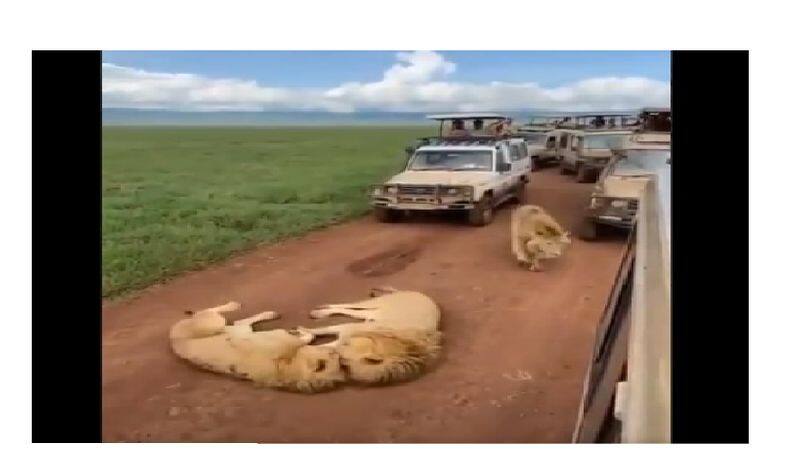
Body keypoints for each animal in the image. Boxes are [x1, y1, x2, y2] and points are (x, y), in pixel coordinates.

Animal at [170, 300, 346, 392]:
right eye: (334, 357)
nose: (340, 355)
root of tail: (173, 340)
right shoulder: (280, 338)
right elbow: (307, 336)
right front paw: (301, 331)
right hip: (212, 323)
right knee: (207, 312)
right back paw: (233, 305)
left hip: (229, 327)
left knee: (239, 322)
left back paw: (267, 313)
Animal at [296, 288, 440, 384]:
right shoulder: (347, 329)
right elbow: (322, 331)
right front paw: (304, 333)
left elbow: (324, 345)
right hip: (374, 304)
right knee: (349, 305)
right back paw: (321, 310)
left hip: (372, 312)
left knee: (350, 311)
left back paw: (322, 312)